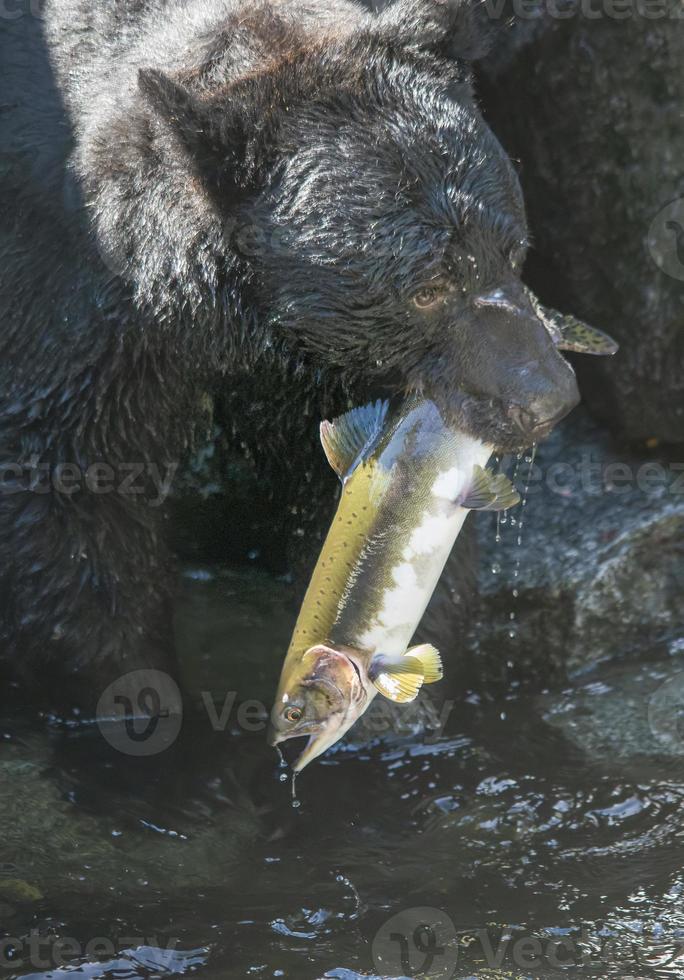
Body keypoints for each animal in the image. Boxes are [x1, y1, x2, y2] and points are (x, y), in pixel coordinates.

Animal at [0, 0, 576, 704]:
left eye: (515, 250)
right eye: (428, 289)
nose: (547, 399)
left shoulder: (337, 383)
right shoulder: (69, 309)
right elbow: (71, 512)